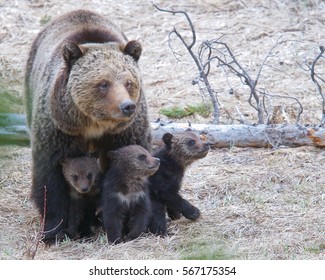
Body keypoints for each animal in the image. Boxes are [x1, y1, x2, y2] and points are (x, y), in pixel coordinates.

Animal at [24, 9, 150, 244]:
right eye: (103, 83)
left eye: (129, 82)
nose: (127, 106)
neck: (94, 124)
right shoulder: (59, 130)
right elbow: (50, 180)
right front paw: (53, 231)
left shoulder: (125, 133)